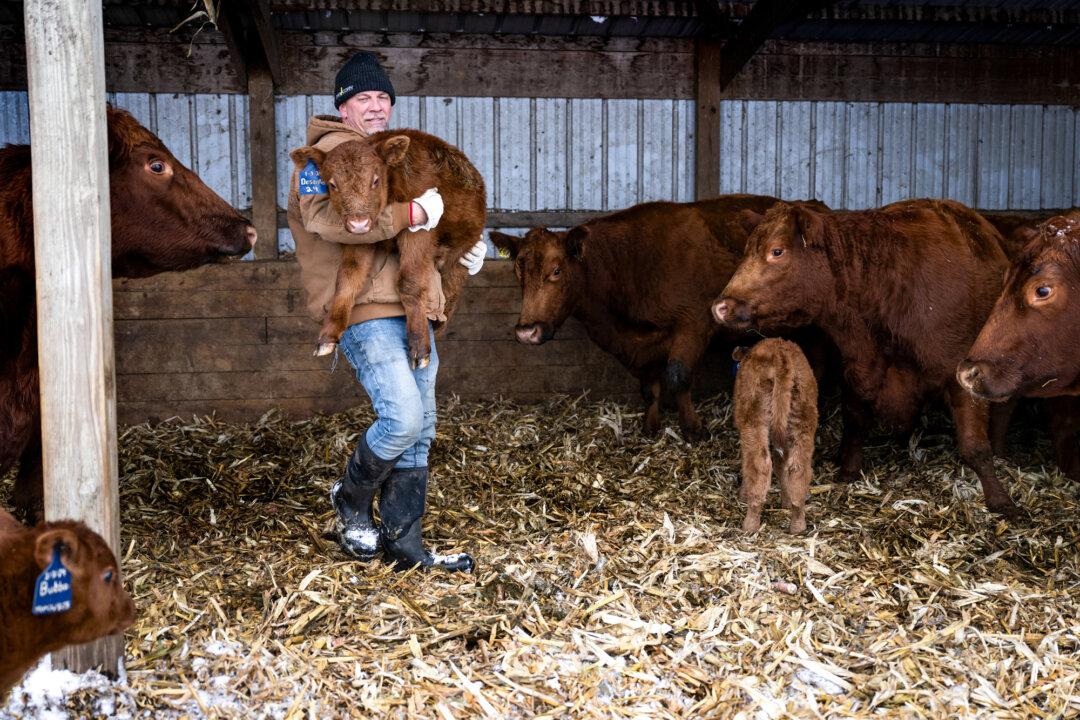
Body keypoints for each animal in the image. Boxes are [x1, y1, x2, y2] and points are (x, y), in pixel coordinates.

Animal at [290, 130, 486, 368]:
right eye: (332, 184)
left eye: (375, 181)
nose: (358, 223)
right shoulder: (360, 239)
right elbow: (348, 279)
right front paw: (328, 335)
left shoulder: (420, 229)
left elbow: (409, 283)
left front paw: (419, 347)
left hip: (460, 254)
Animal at [490, 195, 829, 441]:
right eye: (518, 271)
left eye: (557, 271)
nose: (526, 331)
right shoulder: (633, 345)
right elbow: (648, 385)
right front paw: (650, 426)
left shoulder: (695, 323)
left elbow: (677, 376)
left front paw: (693, 429)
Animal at [732, 339, 819, 534]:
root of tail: (780, 355)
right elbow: (781, 465)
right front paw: (785, 502)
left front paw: (742, 495)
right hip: (802, 421)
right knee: (797, 468)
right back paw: (798, 523)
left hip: (754, 420)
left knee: (760, 466)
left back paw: (750, 524)